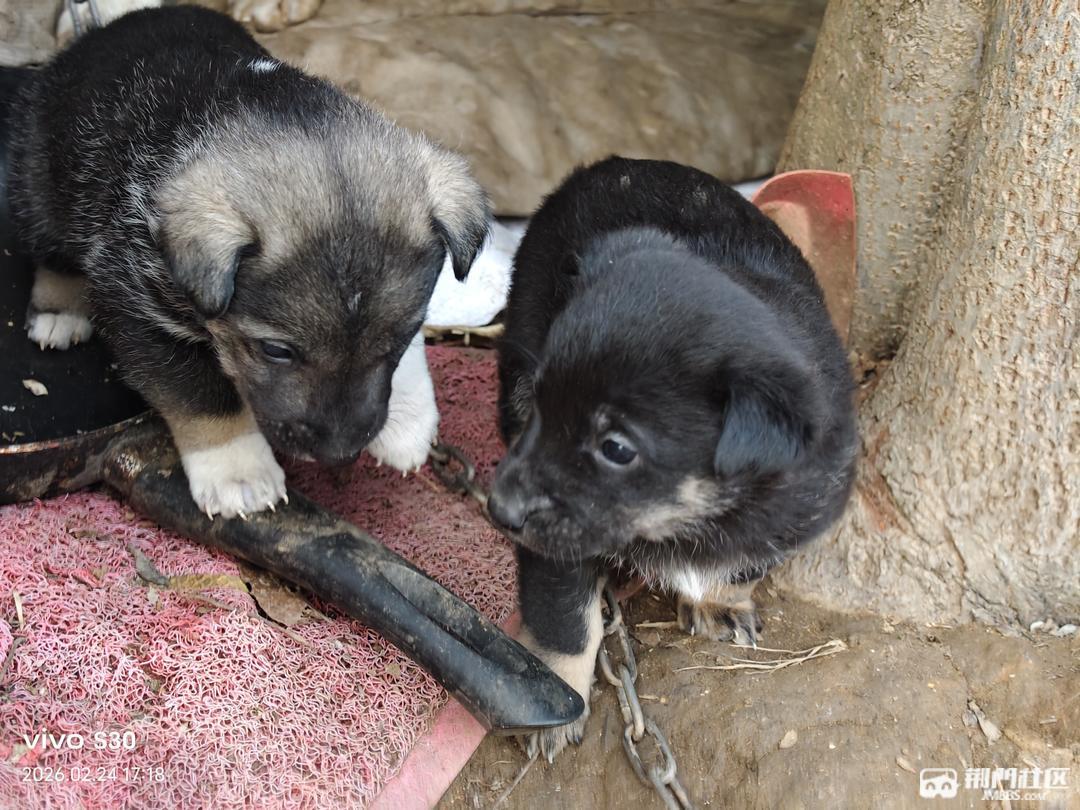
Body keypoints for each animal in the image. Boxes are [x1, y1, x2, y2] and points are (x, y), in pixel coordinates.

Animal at [8, 6, 488, 518]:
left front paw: (410, 420)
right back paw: (60, 311)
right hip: (39, 186)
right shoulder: (139, 311)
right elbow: (202, 396)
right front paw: (238, 472)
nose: (340, 454)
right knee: (52, 252)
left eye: (396, 340)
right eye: (276, 351)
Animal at [487, 157, 858, 759]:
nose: (498, 510)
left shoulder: (800, 508)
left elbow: (747, 562)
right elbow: (564, 616)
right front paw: (558, 694)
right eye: (543, 407)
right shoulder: (555, 540)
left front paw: (719, 601)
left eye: (617, 448)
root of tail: (606, 165)